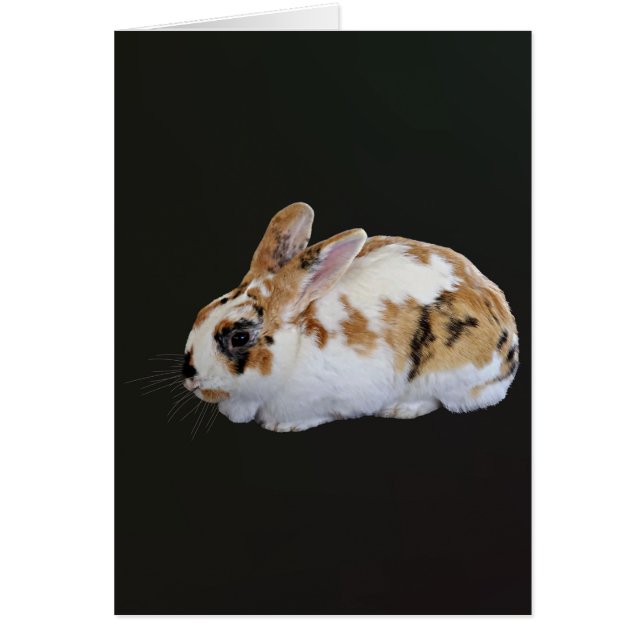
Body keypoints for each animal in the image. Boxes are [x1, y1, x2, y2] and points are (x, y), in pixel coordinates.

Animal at [182, 202, 519, 432]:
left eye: (239, 337)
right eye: (201, 313)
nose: (190, 376)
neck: (297, 347)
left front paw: (285, 426)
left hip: (446, 371)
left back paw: (400, 409)